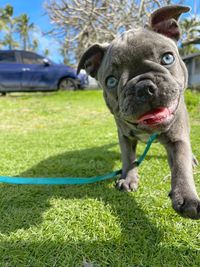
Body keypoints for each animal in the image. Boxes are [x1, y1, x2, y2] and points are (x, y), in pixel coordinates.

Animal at [77, 5, 199, 221]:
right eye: (111, 81)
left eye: (167, 58)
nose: (143, 87)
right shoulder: (124, 136)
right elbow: (128, 158)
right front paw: (128, 178)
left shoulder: (178, 137)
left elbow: (181, 163)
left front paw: (186, 197)